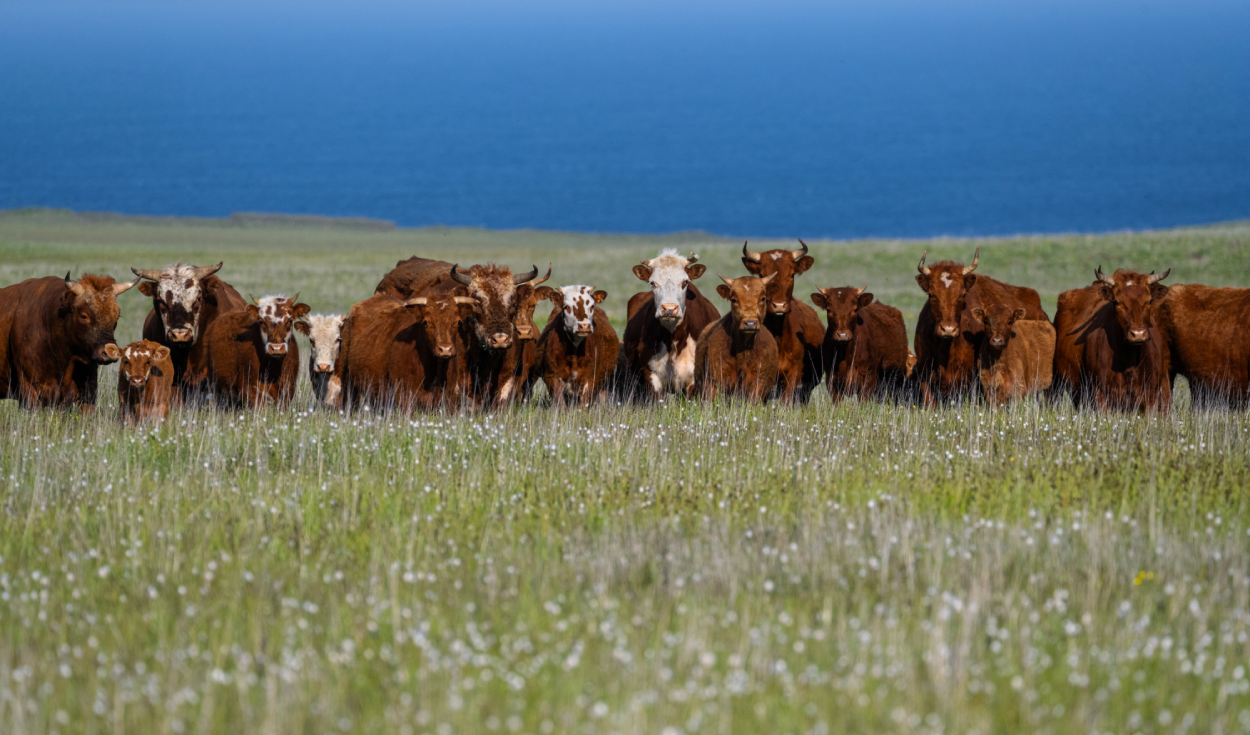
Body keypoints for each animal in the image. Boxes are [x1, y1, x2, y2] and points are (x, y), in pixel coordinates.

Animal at [338, 293, 475, 412]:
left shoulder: (451, 400)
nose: (445, 349)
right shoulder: (404, 398)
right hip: (346, 380)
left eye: (458, 322)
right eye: (426, 322)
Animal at [620, 249, 720, 401]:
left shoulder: (693, 381)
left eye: (685, 282)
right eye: (652, 283)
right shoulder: (651, 376)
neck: (674, 340)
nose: (669, 308)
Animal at [1052, 267, 1172, 412]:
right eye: (1117, 302)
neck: (1129, 360)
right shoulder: (1101, 395)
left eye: (1149, 301)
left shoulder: (1150, 396)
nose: (1138, 334)